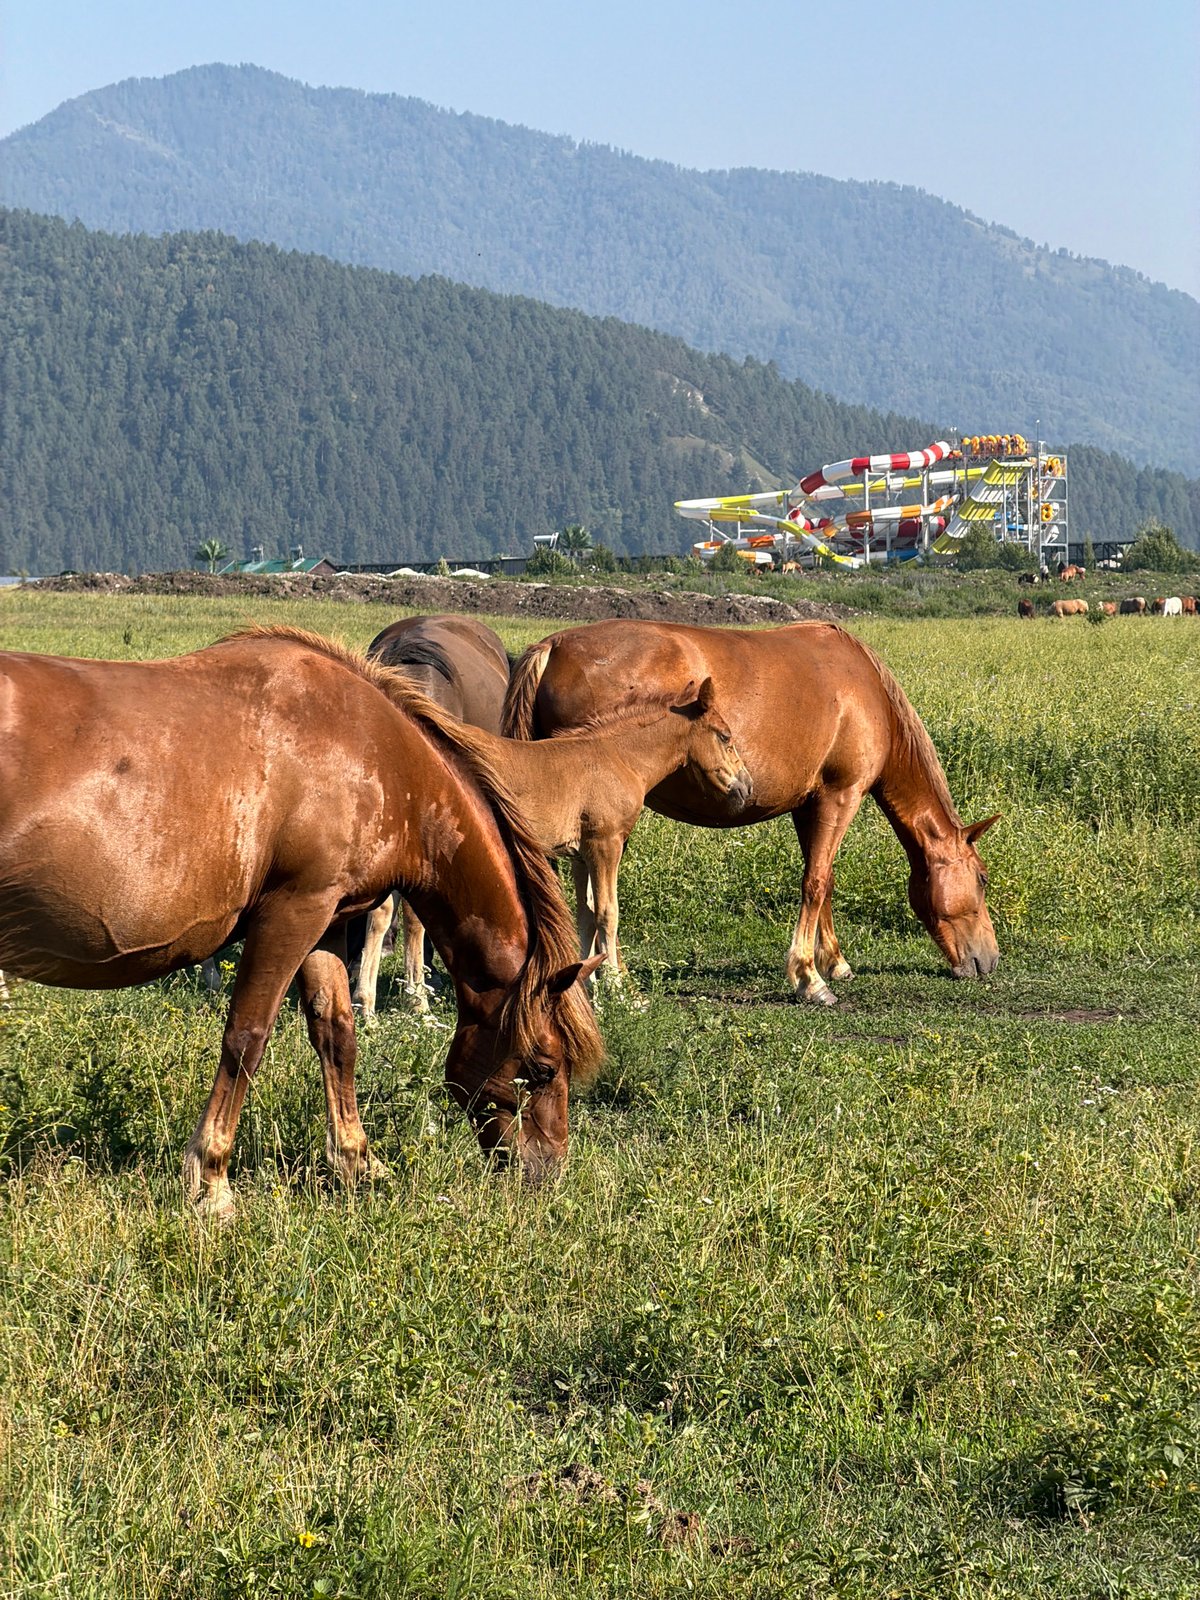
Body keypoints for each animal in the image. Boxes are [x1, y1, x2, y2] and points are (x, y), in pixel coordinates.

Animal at [354, 679, 752, 1018]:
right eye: (725, 736)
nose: (746, 786)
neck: (617, 758)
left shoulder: (581, 854)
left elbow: (586, 913)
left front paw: (588, 988)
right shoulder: (605, 843)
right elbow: (608, 913)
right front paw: (617, 992)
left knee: (383, 914)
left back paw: (368, 1007)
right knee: (411, 919)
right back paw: (415, 1004)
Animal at [503, 620, 999, 1005]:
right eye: (982, 879)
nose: (990, 959)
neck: (865, 691)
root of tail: (554, 646)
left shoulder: (808, 805)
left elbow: (824, 879)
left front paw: (834, 962)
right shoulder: (840, 796)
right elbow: (815, 882)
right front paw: (809, 977)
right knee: (599, 902)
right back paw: (615, 981)